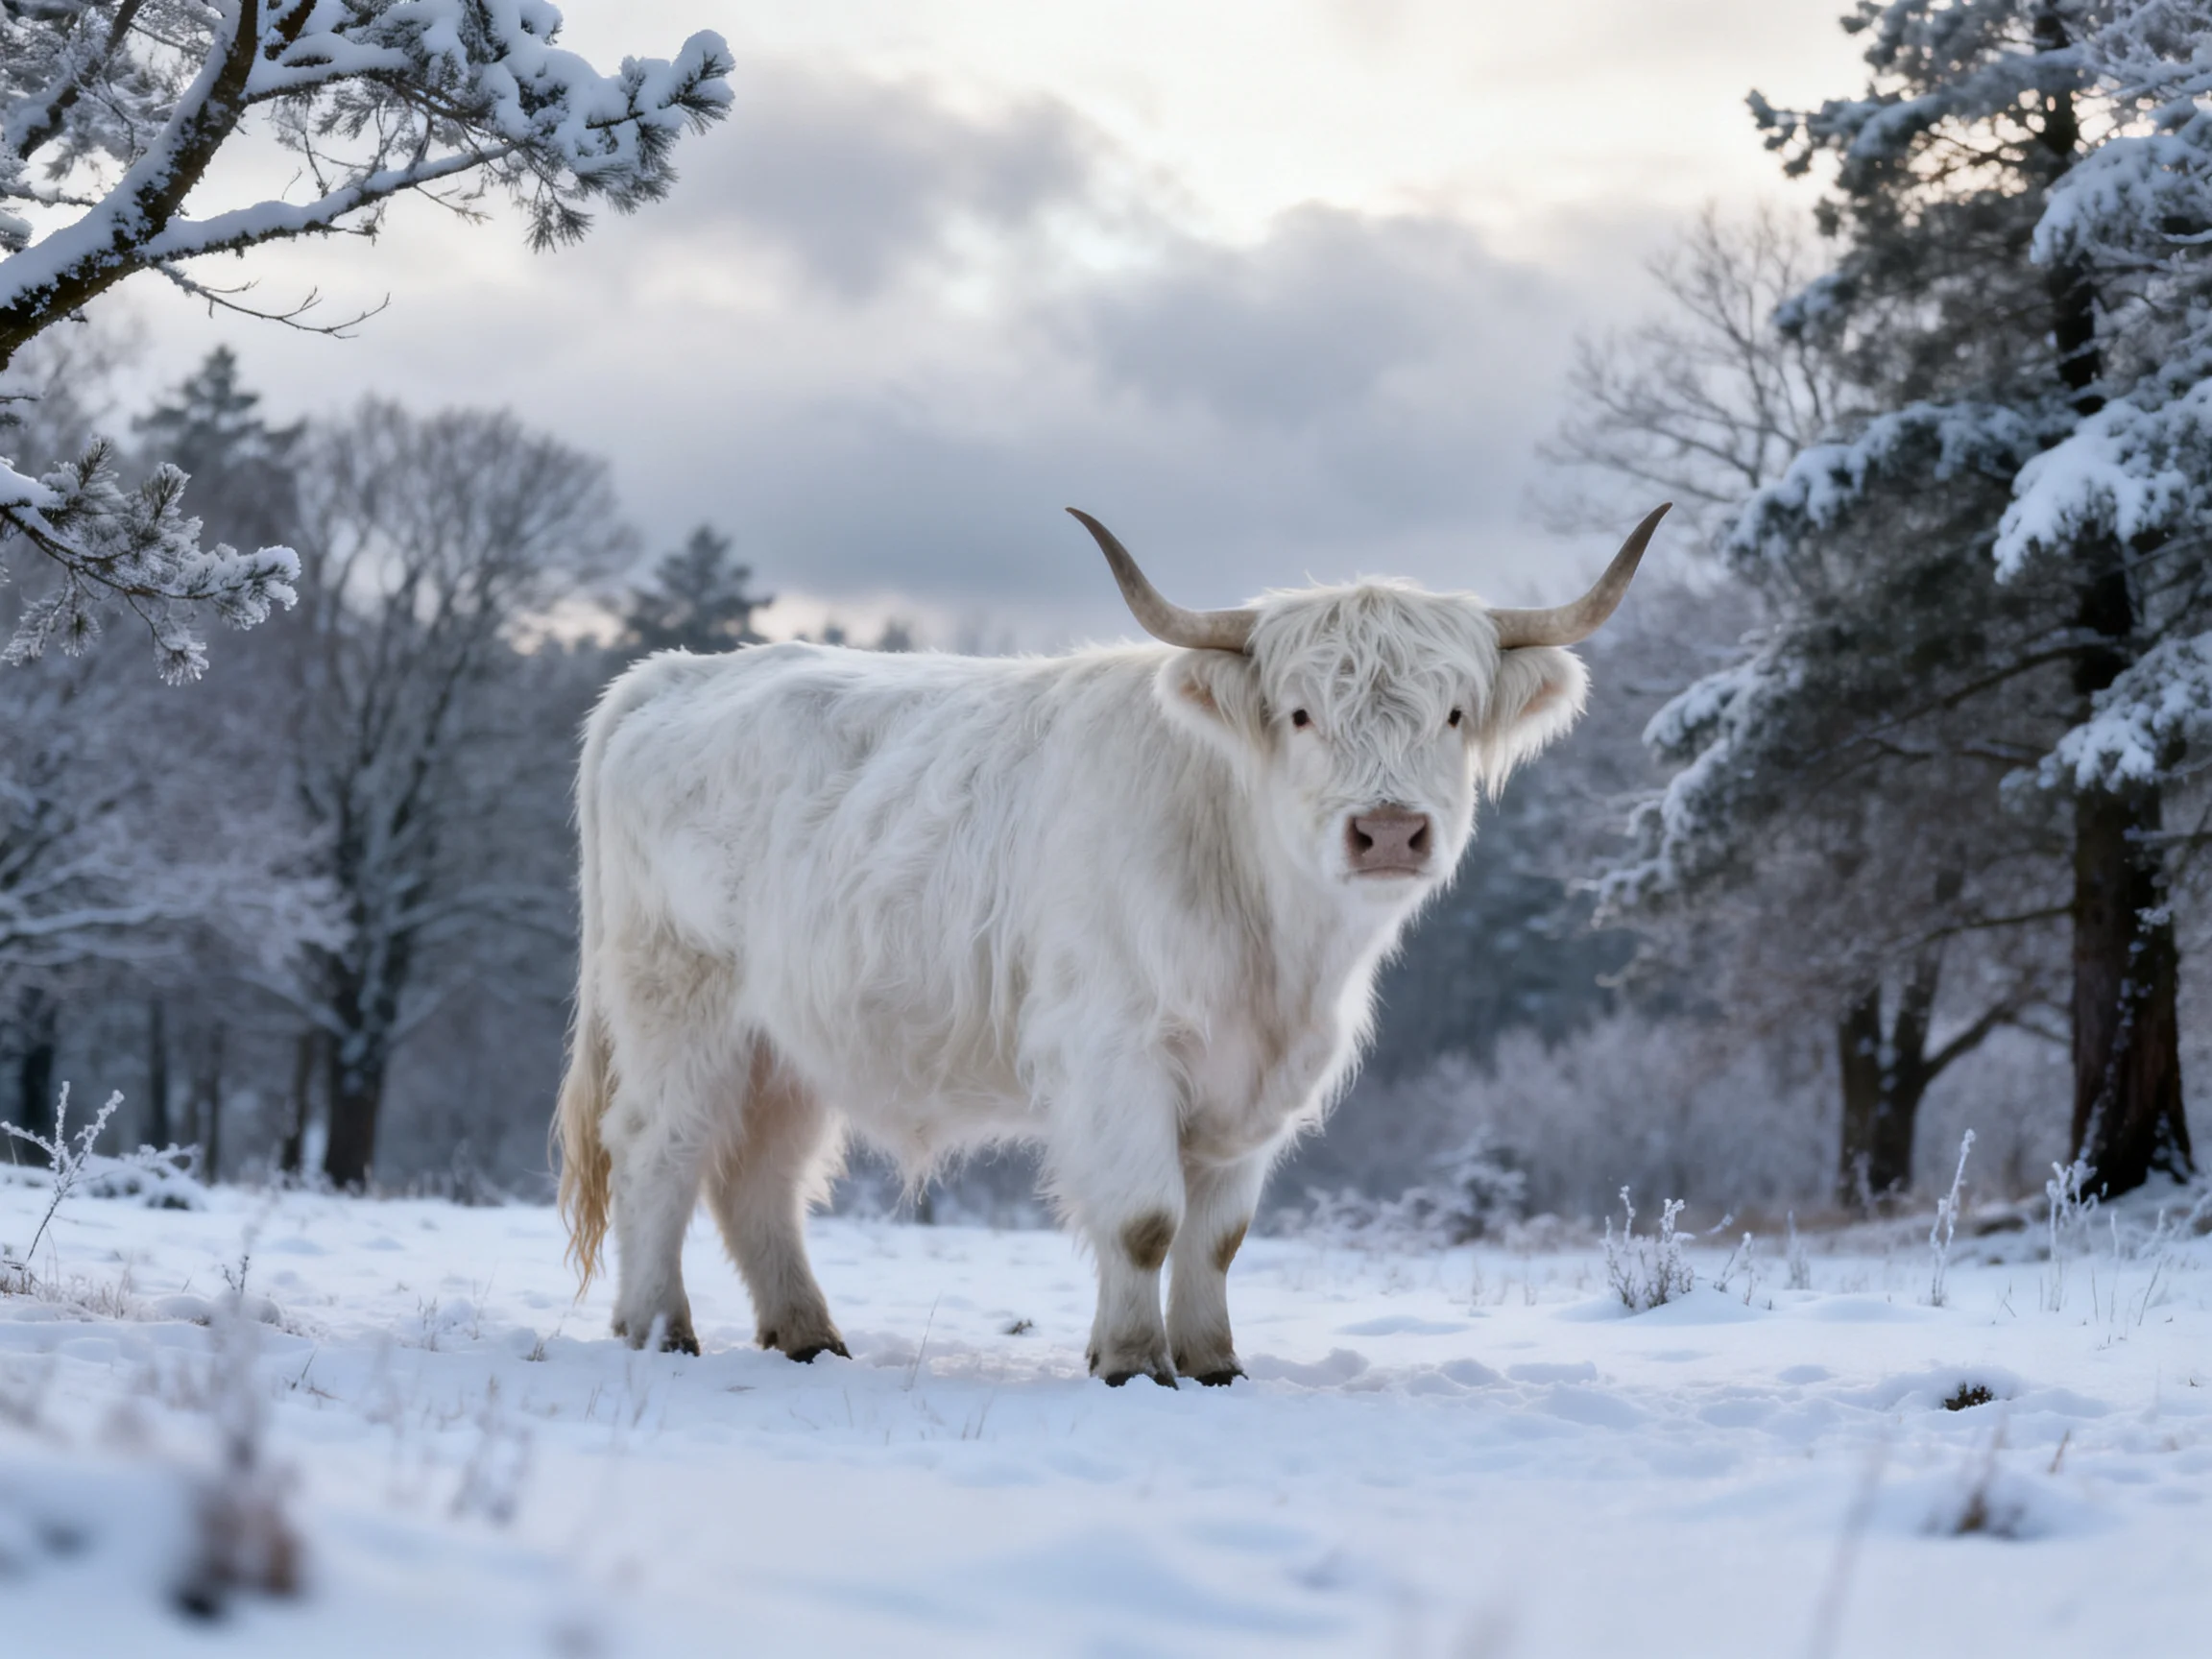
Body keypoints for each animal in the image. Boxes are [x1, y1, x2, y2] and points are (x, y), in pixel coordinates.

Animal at [556, 503, 1668, 1384]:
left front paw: (1213, 1363)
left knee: (759, 1178)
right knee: (658, 1149)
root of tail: (666, 678)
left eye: (1453, 713)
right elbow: (1144, 1219)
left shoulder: (1251, 1079)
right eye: (1302, 714)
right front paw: (1132, 1363)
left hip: (788, 1042)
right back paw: (660, 1330)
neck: (1273, 944)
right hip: (677, 1003)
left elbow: (1217, 1239)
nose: (1389, 830)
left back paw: (807, 1337)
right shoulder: (1113, 1050)